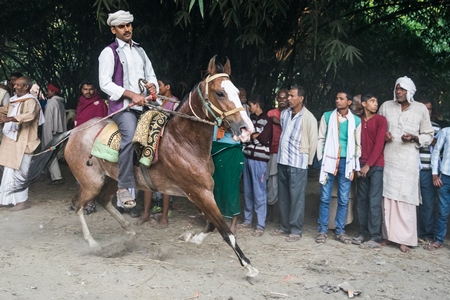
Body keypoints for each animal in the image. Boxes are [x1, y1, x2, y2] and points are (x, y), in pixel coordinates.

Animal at [62, 55, 256, 276]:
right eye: (220, 93)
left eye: (237, 92)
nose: (246, 128)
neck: (184, 141)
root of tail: (74, 132)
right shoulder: (199, 191)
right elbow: (225, 231)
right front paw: (249, 266)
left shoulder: (204, 191)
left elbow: (213, 225)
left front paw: (191, 238)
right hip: (91, 182)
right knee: (77, 203)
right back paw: (92, 242)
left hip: (112, 179)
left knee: (103, 200)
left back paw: (129, 231)